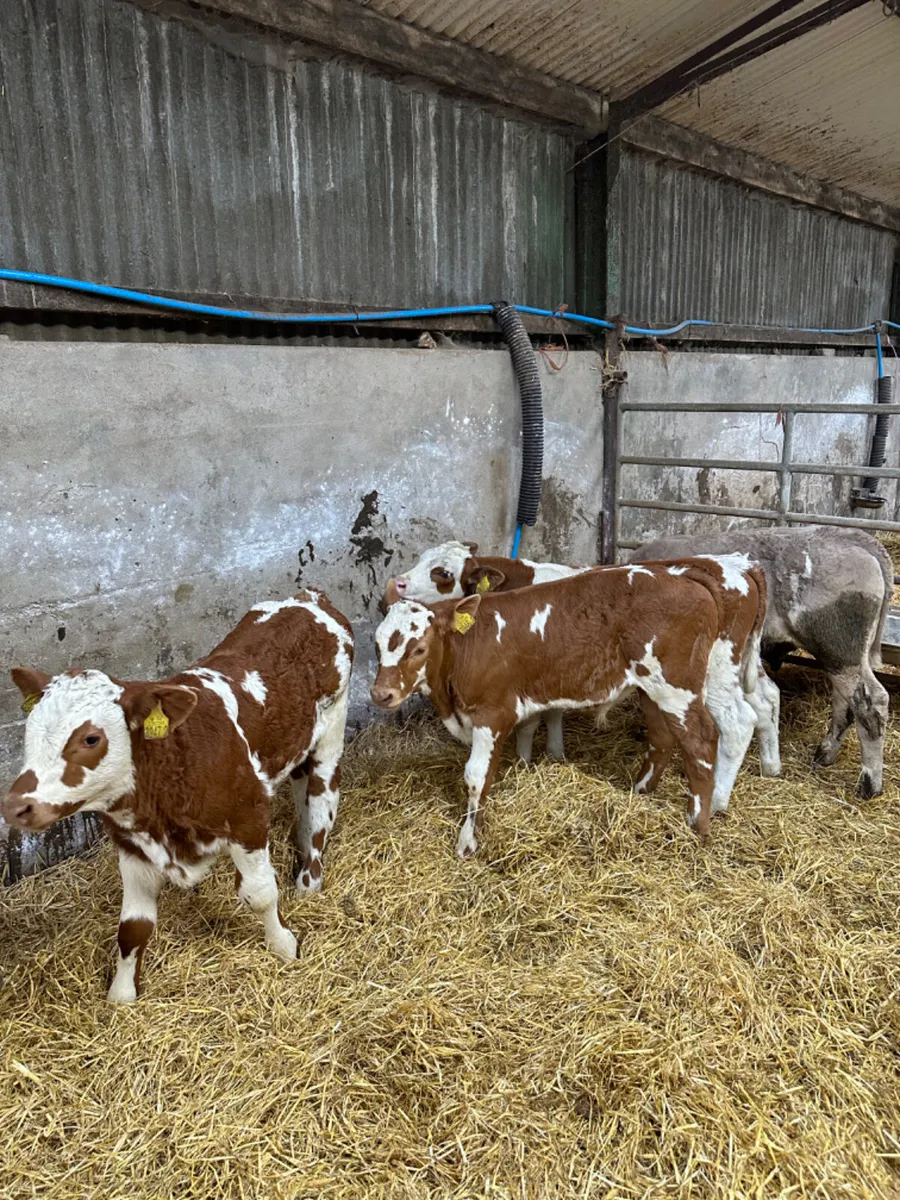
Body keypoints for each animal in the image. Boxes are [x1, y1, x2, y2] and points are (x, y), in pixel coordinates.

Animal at [1, 589, 353, 1002]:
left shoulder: (249, 816)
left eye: (91, 738)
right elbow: (133, 927)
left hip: (331, 733)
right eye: (29, 730)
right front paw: (121, 995)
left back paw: (308, 883)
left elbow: (260, 892)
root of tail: (308, 597)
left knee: (320, 804)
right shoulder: (132, 844)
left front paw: (284, 946)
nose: (16, 805)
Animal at [372, 559, 769, 857]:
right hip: (652, 688)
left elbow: (475, 777)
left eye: (419, 648)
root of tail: (686, 575)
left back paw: (698, 823)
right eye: (376, 645)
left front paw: (468, 842)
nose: (380, 694)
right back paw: (639, 791)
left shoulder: (492, 714)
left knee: (705, 739)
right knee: (662, 737)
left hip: (679, 687)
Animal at [632, 527, 892, 798]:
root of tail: (857, 539)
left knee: (870, 703)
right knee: (844, 705)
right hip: (843, 658)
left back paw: (869, 784)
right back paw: (824, 754)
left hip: (840, 649)